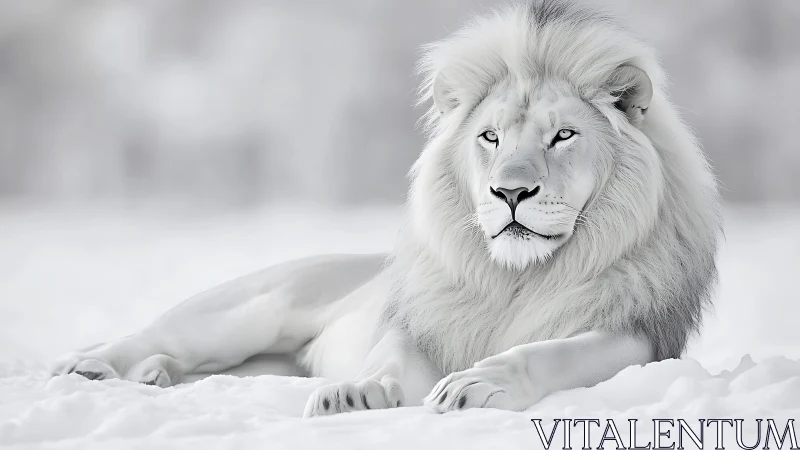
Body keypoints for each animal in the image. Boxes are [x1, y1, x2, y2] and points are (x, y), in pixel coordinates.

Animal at [52, 0, 721, 416]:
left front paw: (479, 382)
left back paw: (154, 376)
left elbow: (547, 351)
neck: (518, 278)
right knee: (154, 335)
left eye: (563, 136)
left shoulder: (635, 338)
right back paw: (91, 368)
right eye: (490, 137)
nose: (510, 193)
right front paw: (353, 394)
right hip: (249, 312)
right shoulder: (419, 321)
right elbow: (386, 359)